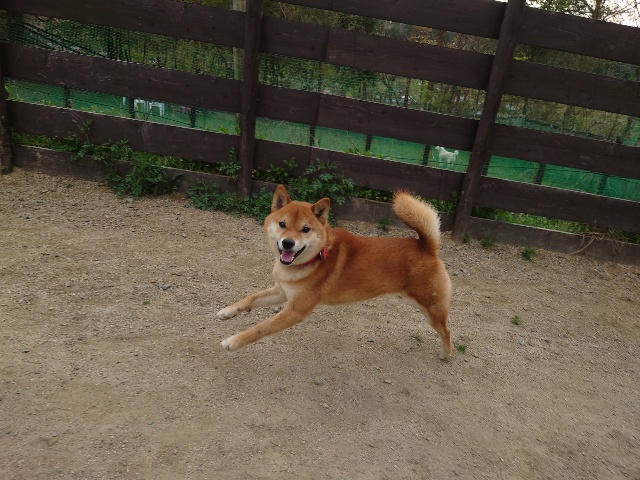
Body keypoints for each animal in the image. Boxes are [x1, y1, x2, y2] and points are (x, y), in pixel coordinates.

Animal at [218, 185, 452, 359]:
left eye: (305, 229)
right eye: (282, 224)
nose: (288, 243)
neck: (315, 258)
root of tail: (427, 246)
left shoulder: (295, 310)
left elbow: (261, 328)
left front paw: (233, 341)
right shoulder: (283, 291)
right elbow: (251, 298)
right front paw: (228, 311)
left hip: (431, 309)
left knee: (446, 331)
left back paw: (446, 354)